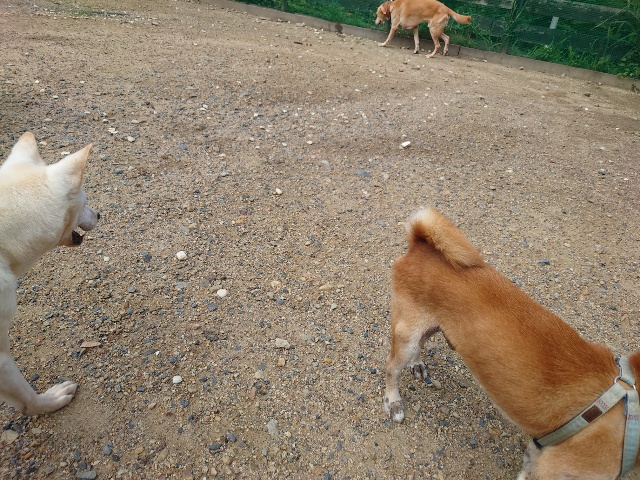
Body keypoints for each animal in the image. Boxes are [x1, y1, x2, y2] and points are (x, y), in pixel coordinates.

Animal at [385, 208, 639, 478]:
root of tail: (419, 243)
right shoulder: (555, 470)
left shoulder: (538, 454)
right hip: (408, 335)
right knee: (391, 368)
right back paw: (393, 402)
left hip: (427, 328)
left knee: (417, 348)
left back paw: (417, 364)